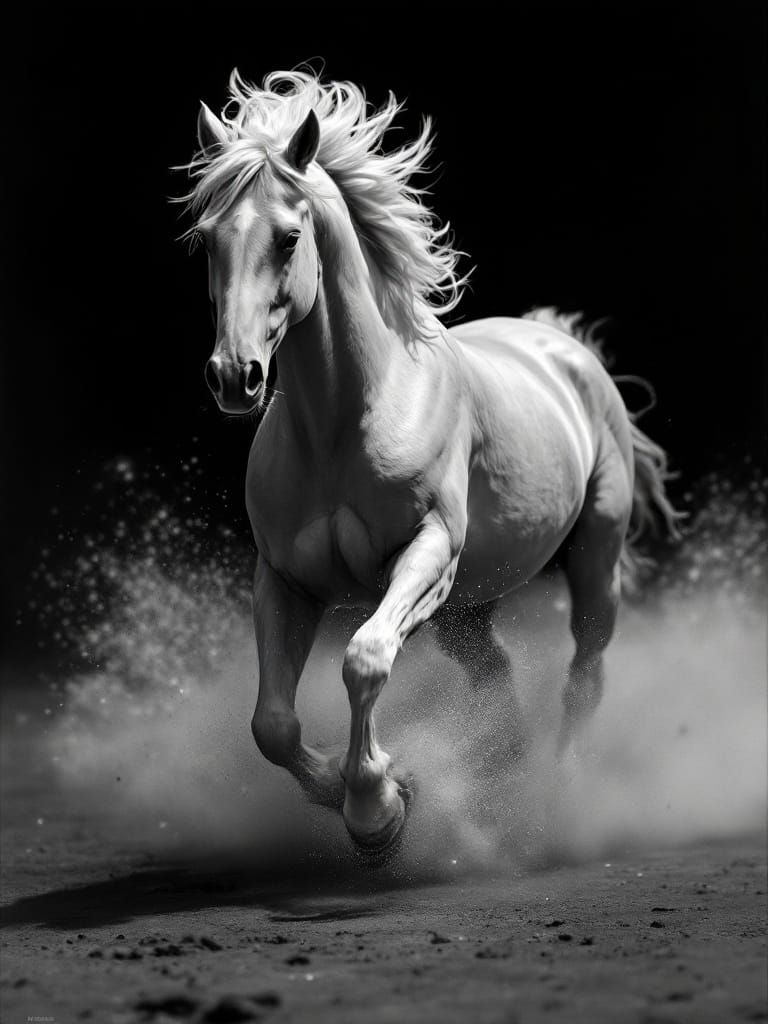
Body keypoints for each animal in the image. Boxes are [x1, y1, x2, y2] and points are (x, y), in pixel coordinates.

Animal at [180, 70, 679, 857]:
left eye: (289, 236)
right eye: (206, 239)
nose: (236, 376)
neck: (346, 423)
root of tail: (562, 346)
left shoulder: (429, 556)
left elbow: (364, 658)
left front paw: (377, 810)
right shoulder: (284, 580)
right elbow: (271, 724)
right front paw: (381, 792)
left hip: (592, 559)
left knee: (584, 672)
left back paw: (557, 802)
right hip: (467, 611)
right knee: (497, 678)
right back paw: (500, 790)